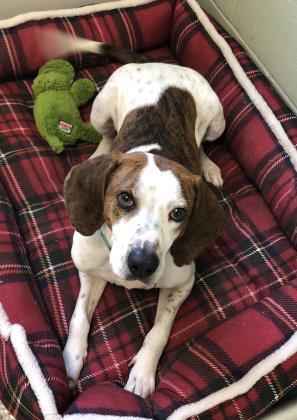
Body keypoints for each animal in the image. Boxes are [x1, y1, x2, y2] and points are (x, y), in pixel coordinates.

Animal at [60, 32, 224, 398]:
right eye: (124, 199)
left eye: (179, 213)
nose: (142, 264)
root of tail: (159, 64)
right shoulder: (89, 272)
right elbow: (79, 316)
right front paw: (72, 358)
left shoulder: (182, 283)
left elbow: (159, 332)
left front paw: (143, 373)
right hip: (100, 109)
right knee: (106, 134)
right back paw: (100, 150)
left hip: (217, 119)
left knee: (203, 143)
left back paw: (209, 166)